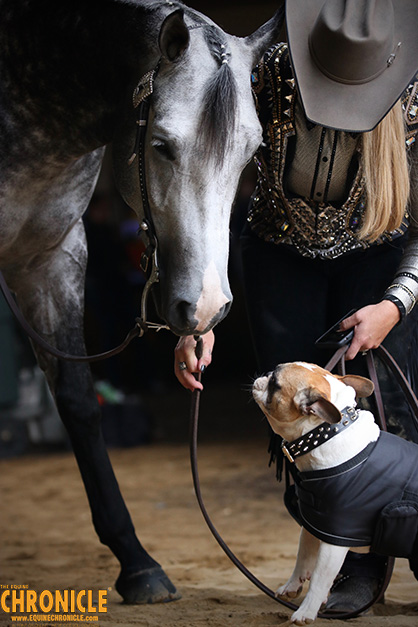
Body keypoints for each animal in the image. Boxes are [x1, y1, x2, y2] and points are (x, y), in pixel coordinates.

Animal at [0, 0, 284, 604]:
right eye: (161, 146)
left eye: (252, 152)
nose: (205, 308)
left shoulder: (49, 258)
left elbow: (78, 402)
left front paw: (136, 562)